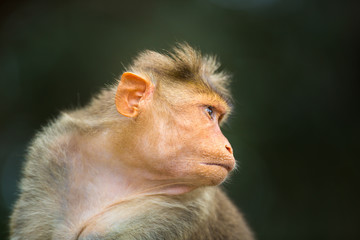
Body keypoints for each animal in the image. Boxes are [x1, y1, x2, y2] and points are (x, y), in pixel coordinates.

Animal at [9, 43, 255, 240]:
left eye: (218, 117)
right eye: (209, 112)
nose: (228, 146)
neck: (121, 166)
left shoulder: (184, 210)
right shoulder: (54, 157)